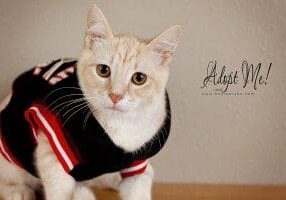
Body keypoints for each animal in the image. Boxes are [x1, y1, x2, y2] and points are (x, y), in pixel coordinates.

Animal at [0, 3, 181, 200]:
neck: (117, 127)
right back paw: (18, 191)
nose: (115, 96)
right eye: (103, 70)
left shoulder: (137, 162)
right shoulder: (51, 141)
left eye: (139, 78)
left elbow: (140, 185)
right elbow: (59, 188)